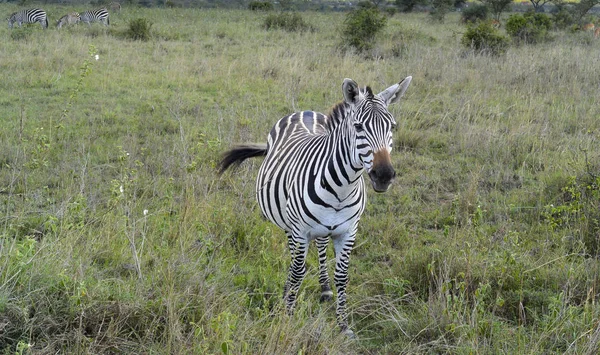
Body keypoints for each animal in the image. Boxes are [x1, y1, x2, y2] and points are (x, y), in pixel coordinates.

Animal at [219, 76, 412, 338]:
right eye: (358, 127)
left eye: (392, 126)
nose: (384, 175)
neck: (342, 189)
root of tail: (305, 111)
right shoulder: (301, 230)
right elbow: (298, 272)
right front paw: (288, 316)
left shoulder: (348, 232)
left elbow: (342, 276)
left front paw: (343, 324)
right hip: (289, 222)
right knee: (295, 256)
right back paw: (288, 288)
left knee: (320, 245)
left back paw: (324, 288)